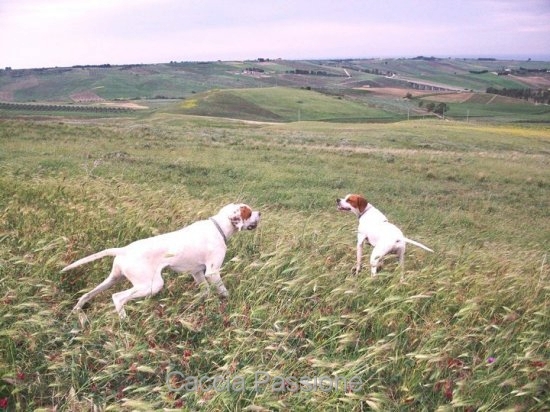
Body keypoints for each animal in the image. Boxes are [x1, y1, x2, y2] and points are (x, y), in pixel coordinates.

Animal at [62, 204, 260, 318]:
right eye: (249, 212)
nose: (260, 213)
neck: (219, 227)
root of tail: (124, 249)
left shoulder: (197, 273)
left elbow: (204, 292)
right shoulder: (212, 272)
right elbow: (223, 291)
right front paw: (230, 304)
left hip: (114, 278)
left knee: (86, 294)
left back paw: (78, 313)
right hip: (152, 284)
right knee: (117, 297)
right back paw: (124, 322)